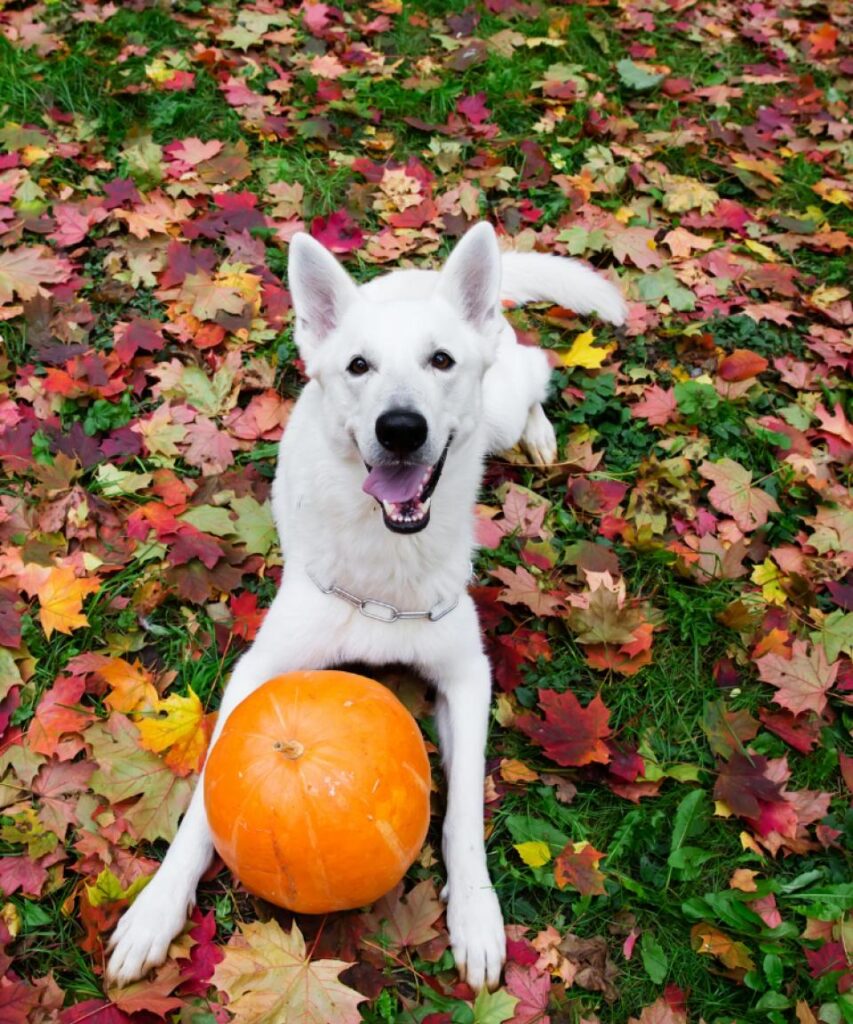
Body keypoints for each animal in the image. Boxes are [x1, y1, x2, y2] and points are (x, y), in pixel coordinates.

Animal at [106, 224, 626, 991]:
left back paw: (539, 433)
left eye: (440, 361)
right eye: (358, 367)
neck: (385, 573)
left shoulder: (467, 678)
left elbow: (464, 807)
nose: (401, 428)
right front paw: (156, 907)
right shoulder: (257, 672)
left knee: (533, 373)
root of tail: (415, 274)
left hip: (498, 408)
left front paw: (475, 912)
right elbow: (203, 802)